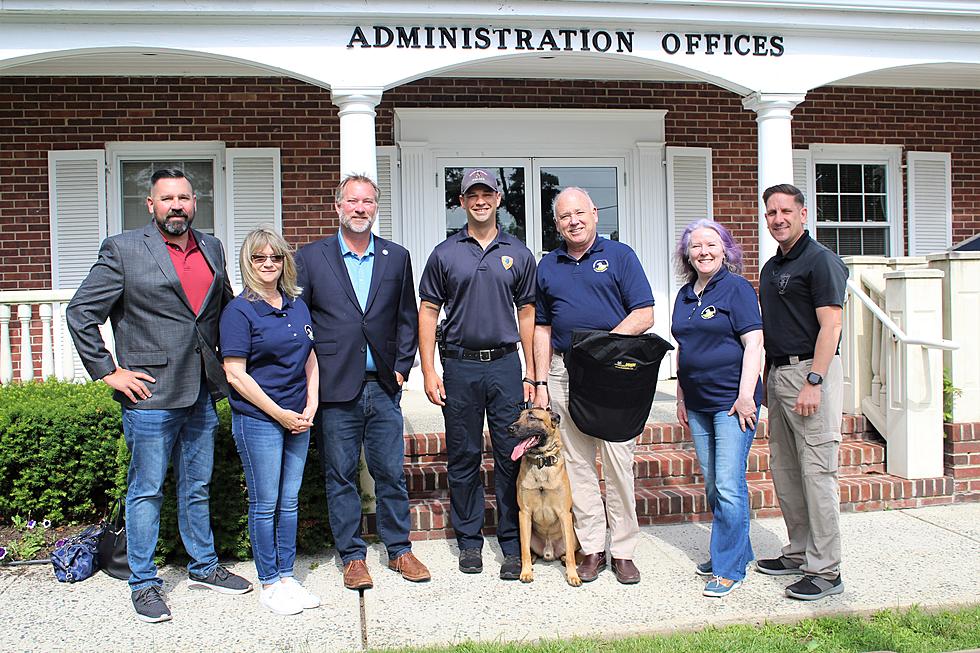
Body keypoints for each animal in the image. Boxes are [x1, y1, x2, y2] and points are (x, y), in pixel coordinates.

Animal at [510, 408, 580, 584]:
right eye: (518, 417)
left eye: (532, 417)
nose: (509, 428)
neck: (541, 462)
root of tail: (549, 552)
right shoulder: (524, 514)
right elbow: (524, 551)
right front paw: (526, 572)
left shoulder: (564, 514)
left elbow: (570, 553)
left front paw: (573, 575)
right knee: (529, 550)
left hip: (573, 534)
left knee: (569, 551)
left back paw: (563, 559)